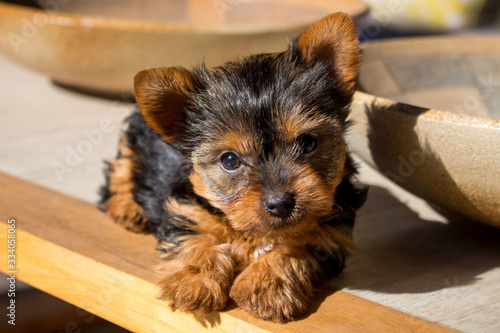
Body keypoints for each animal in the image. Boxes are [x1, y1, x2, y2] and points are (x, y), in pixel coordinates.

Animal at [100, 13, 368, 322]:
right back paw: (127, 207)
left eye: (308, 142)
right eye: (229, 160)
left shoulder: (330, 229)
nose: (280, 203)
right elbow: (195, 238)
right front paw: (194, 281)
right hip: (137, 139)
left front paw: (268, 284)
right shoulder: (188, 207)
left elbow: (297, 245)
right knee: (121, 166)